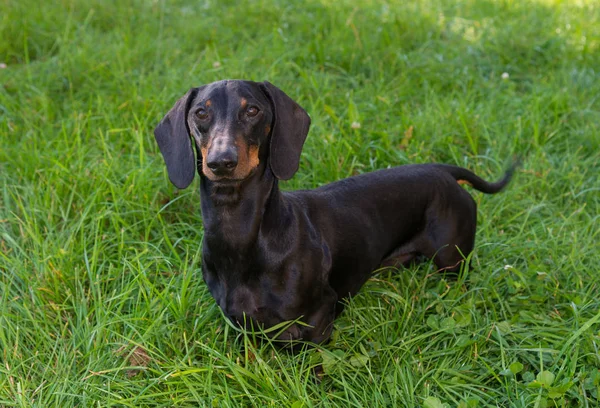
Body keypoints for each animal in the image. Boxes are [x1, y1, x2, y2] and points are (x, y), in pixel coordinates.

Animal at [154, 79, 516, 344]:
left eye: (253, 110)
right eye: (201, 113)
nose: (222, 162)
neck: (240, 234)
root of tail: (441, 170)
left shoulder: (319, 318)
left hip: (451, 260)